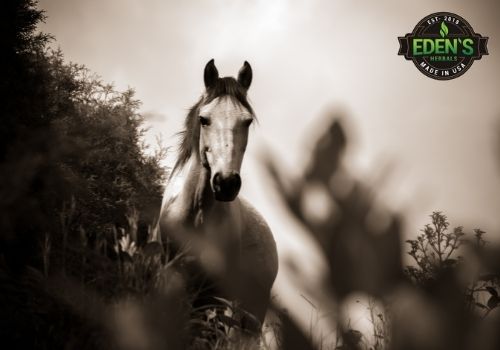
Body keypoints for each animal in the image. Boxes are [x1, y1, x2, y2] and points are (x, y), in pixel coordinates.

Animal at [159, 59, 278, 330]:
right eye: (204, 119)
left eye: (247, 121)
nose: (226, 183)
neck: (196, 213)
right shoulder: (171, 274)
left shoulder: (213, 293)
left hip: (249, 314)